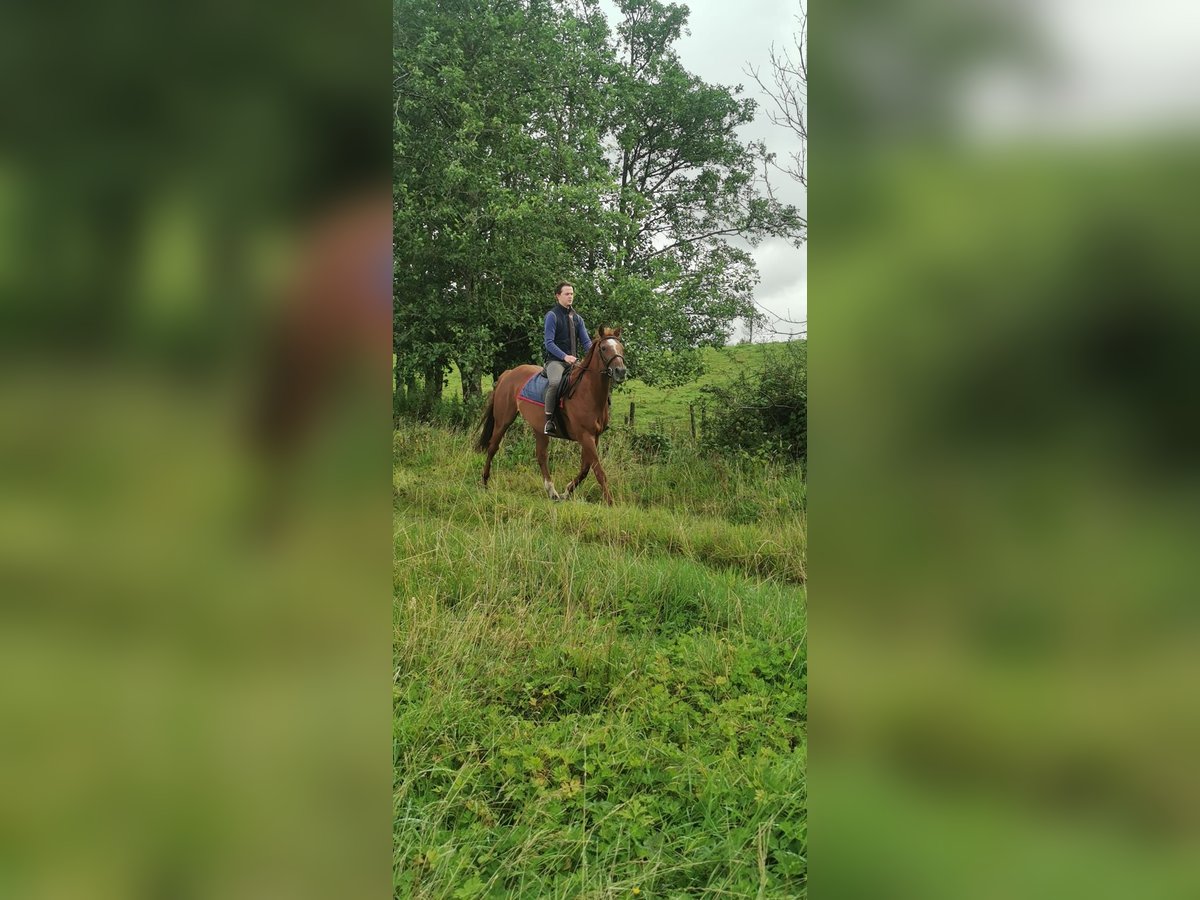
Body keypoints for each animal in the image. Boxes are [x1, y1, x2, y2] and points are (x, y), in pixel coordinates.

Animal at [475, 328, 633, 504]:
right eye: (604, 348)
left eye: (621, 348)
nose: (621, 371)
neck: (588, 392)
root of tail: (508, 373)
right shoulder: (585, 436)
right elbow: (598, 470)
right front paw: (610, 502)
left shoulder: (594, 436)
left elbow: (585, 468)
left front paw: (566, 492)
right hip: (503, 421)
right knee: (492, 448)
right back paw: (484, 482)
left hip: (539, 428)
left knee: (541, 456)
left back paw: (552, 492)